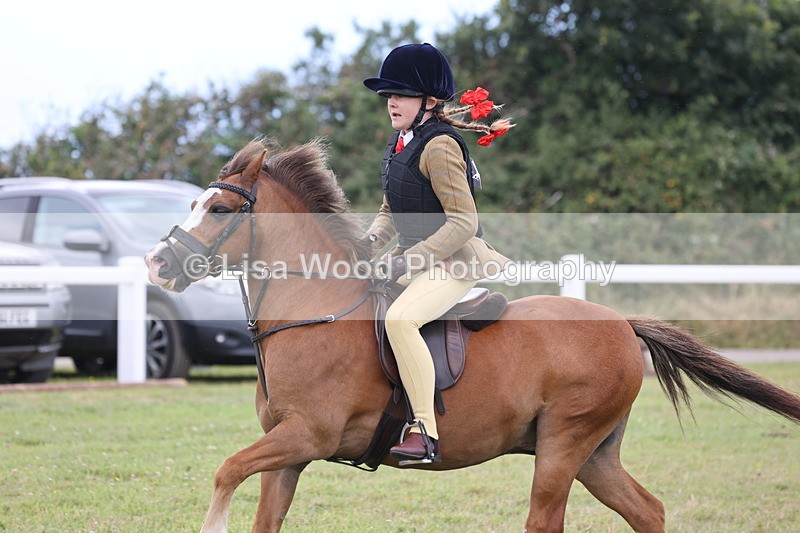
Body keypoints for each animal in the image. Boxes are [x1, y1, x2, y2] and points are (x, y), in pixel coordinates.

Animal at [144, 139, 800, 532]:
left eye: (220, 210)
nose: (157, 263)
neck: (316, 312)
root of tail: (620, 321)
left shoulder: (307, 435)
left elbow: (225, 471)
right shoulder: (289, 450)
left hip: (564, 444)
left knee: (547, 519)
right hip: (594, 455)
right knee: (649, 510)